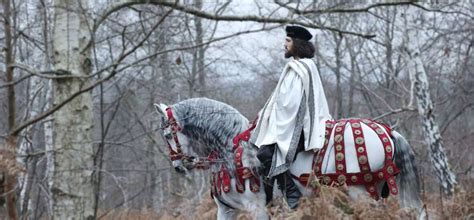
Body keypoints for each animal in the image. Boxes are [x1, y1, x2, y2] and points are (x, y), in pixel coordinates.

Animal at [156, 98, 426, 220]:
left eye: (168, 135)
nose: (178, 166)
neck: (231, 151)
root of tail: (386, 131)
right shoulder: (226, 210)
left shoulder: (257, 209)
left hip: (361, 195)